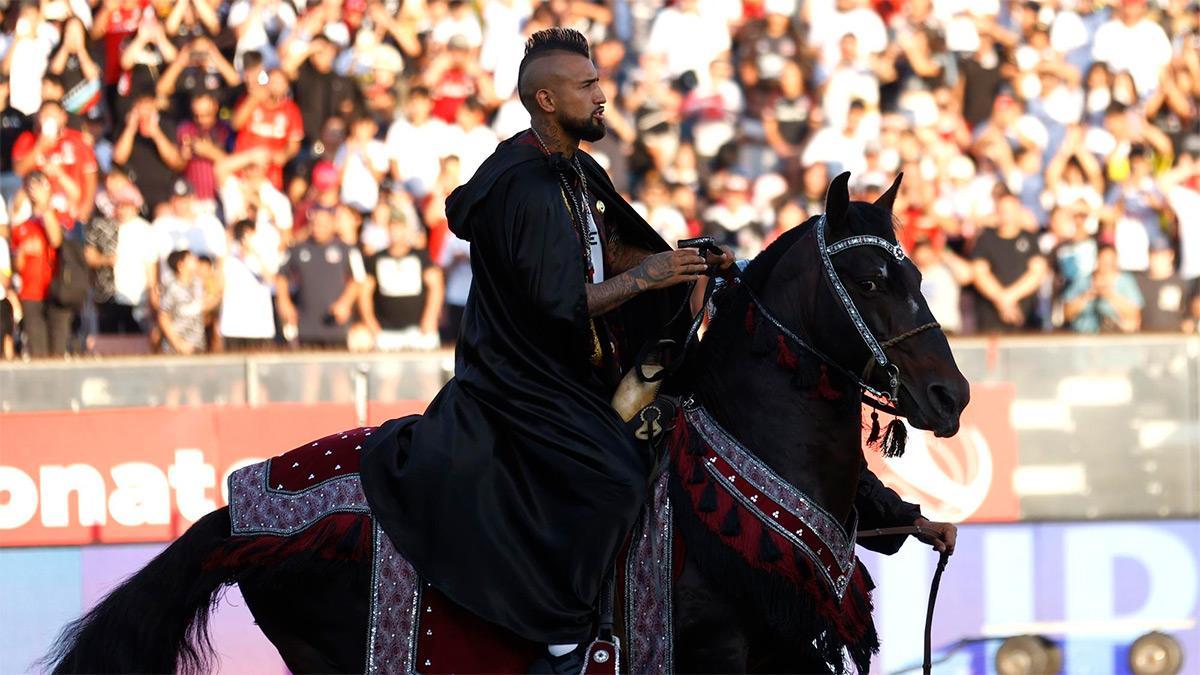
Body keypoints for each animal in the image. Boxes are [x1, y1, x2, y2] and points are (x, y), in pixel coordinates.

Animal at [42, 172, 969, 672]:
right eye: (874, 281)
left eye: (919, 274)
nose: (951, 395)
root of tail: (239, 506)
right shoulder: (719, 649)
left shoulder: (786, 646)